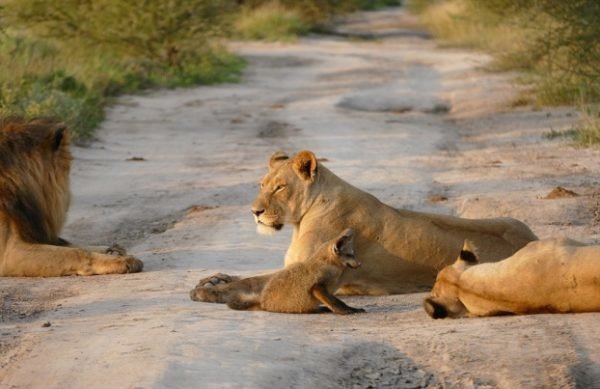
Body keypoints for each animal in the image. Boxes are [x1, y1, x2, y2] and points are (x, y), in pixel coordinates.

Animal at [0, 116, 143, 276]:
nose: (70, 200)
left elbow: (71, 244)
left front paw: (113, 250)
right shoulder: (9, 252)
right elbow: (76, 252)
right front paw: (123, 261)